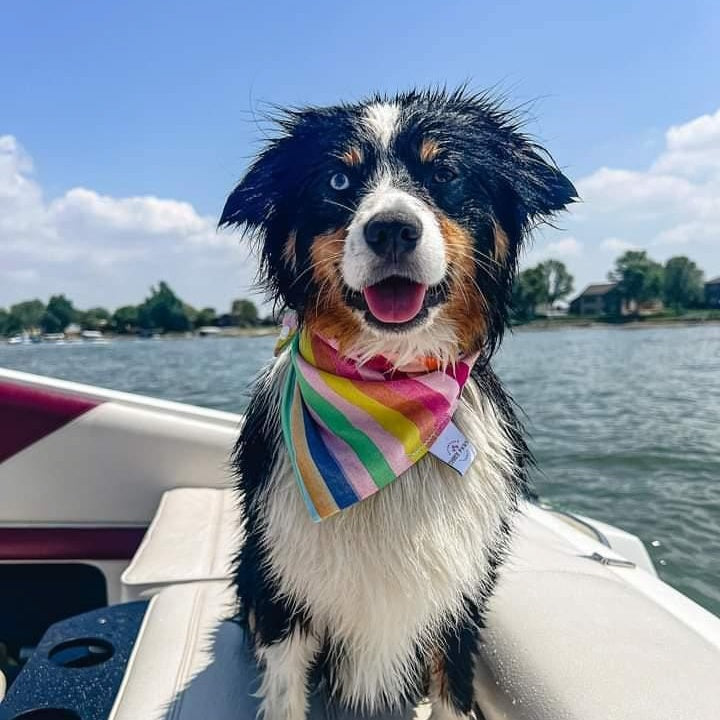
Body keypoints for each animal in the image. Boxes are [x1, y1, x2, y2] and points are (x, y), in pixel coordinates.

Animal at [222, 87, 576, 716]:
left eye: (445, 173)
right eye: (338, 179)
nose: (391, 230)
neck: (389, 380)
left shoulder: (463, 593)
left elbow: (453, 689)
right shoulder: (282, 582)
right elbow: (285, 686)